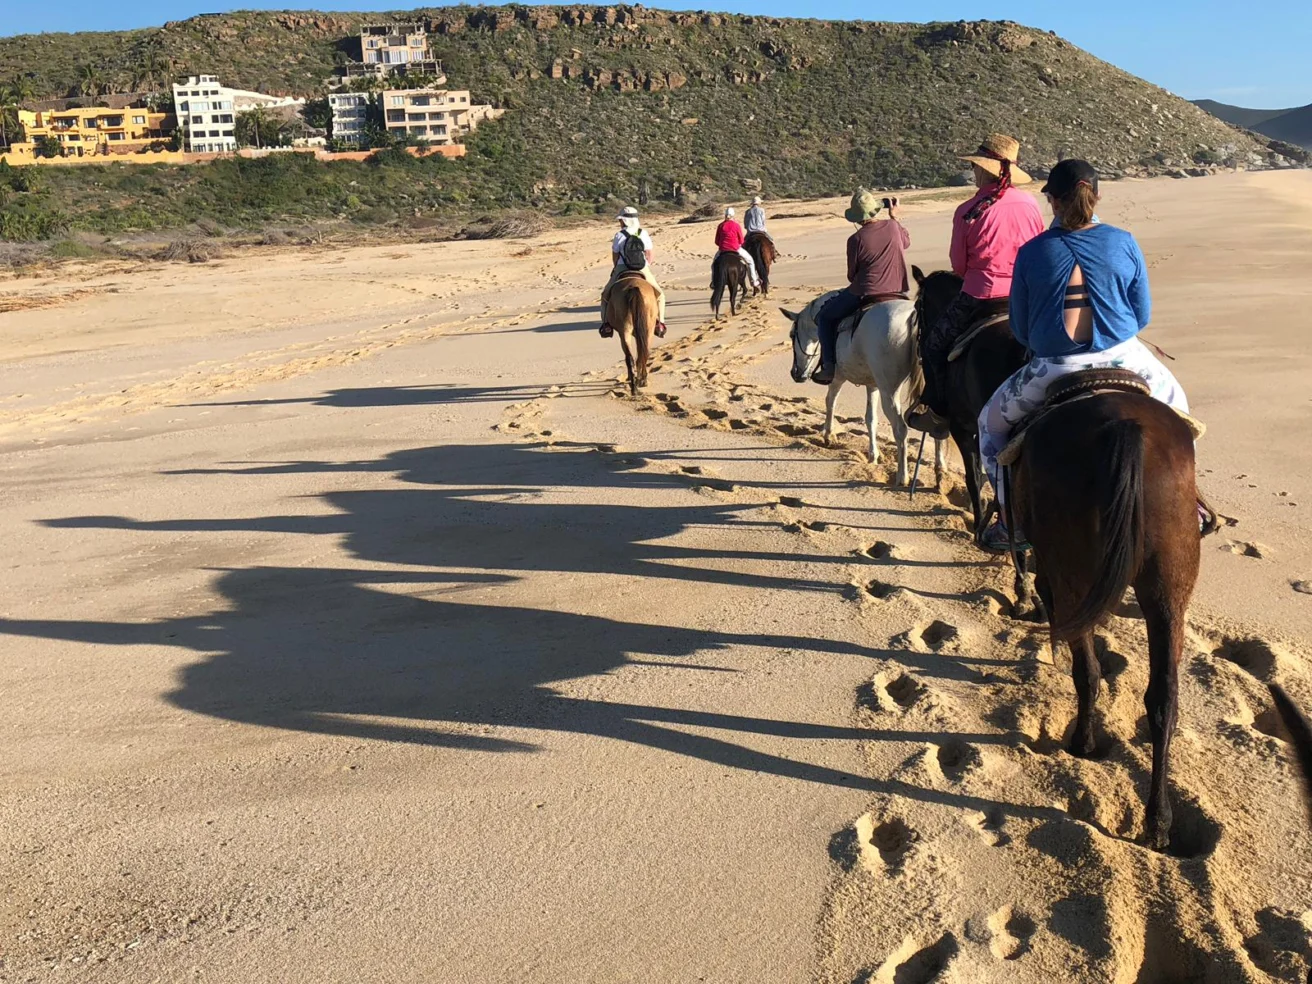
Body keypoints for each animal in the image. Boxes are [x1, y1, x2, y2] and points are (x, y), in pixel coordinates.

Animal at [776, 295, 944, 490]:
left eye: (791, 335)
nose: (795, 373)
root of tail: (913, 316)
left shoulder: (837, 377)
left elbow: (830, 401)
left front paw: (828, 435)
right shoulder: (872, 385)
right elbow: (870, 418)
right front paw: (873, 455)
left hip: (889, 391)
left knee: (900, 428)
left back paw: (902, 476)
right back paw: (940, 471)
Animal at [1007, 393, 1201, 855]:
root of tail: (1126, 427)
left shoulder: (1052, 573)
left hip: (1075, 575)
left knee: (1088, 670)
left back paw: (1083, 742)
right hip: (1169, 590)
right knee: (1163, 697)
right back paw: (1158, 822)